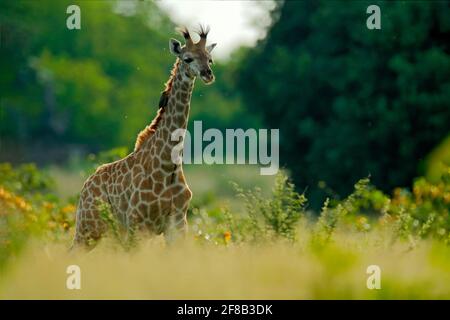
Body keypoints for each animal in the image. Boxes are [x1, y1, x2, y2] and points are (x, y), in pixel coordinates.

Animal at [72, 26, 216, 248]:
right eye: (188, 58)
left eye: (210, 59)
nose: (208, 74)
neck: (168, 166)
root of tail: (85, 185)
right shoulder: (138, 223)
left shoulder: (177, 224)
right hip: (89, 227)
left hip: (112, 231)